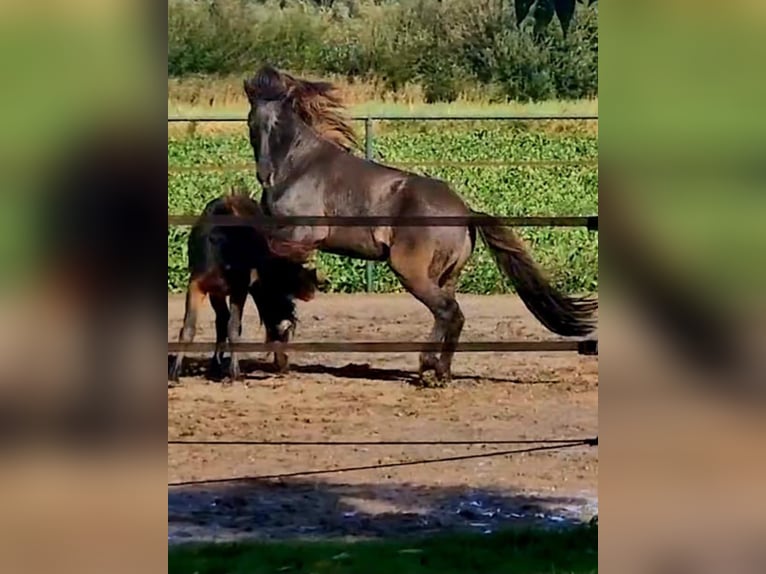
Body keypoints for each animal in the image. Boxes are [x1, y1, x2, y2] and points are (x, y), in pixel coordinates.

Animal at [168, 190, 323, 383]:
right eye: (287, 334)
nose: (285, 366)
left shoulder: (239, 289)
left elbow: (233, 328)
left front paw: (234, 371)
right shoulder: (198, 285)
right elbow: (189, 328)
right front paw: (175, 372)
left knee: (224, 322)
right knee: (221, 321)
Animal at [242, 65, 597, 386]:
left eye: (279, 124)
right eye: (252, 122)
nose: (265, 175)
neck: (299, 167)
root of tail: (465, 211)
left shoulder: (300, 235)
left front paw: (282, 335)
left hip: (411, 271)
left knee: (448, 312)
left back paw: (428, 368)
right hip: (445, 276)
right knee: (453, 316)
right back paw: (442, 372)